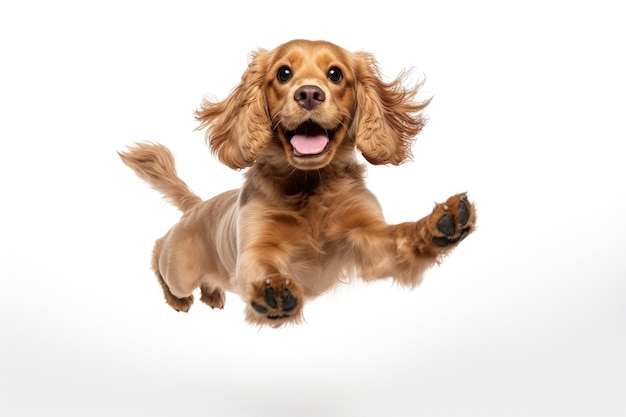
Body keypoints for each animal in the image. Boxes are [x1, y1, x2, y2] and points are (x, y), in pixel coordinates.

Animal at [119, 39, 476, 324]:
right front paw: (274, 292)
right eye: (283, 73)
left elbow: (400, 234)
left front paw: (439, 225)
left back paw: (213, 295)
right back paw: (180, 298)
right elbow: (265, 266)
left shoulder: (365, 236)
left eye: (335, 74)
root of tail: (199, 205)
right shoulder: (256, 247)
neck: (309, 186)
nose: (309, 94)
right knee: (158, 253)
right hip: (178, 268)